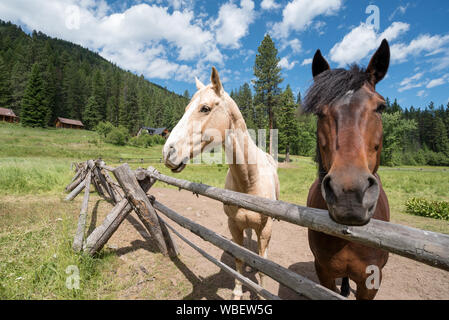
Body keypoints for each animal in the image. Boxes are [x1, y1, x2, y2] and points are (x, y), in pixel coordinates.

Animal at [163, 66, 278, 298]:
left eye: (205, 108)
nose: (168, 152)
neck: (249, 180)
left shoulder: (266, 229)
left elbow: (264, 265)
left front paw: (261, 292)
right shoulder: (234, 225)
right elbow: (239, 258)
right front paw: (237, 291)